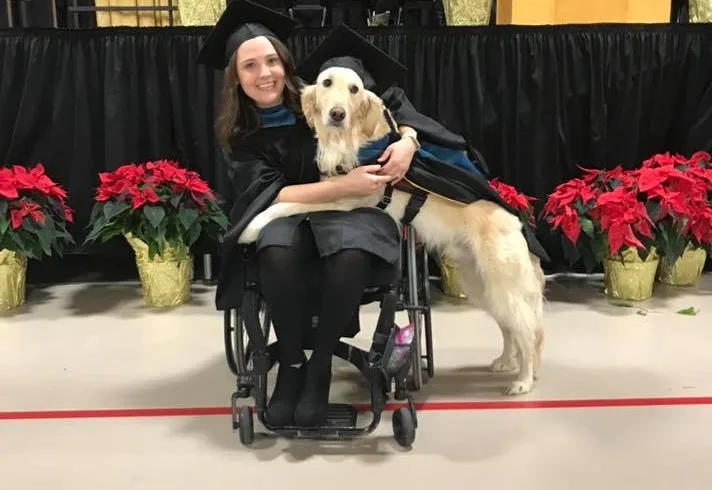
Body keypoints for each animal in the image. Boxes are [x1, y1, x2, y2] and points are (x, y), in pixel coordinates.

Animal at [242, 24, 548, 396]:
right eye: (327, 83)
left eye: (355, 88)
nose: (337, 114)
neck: (351, 142)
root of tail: (518, 223)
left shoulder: (349, 196)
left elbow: (290, 202)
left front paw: (252, 225)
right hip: (482, 282)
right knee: (511, 328)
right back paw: (507, 363)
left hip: (502, 281)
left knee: (527, 329)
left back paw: (524, 380)